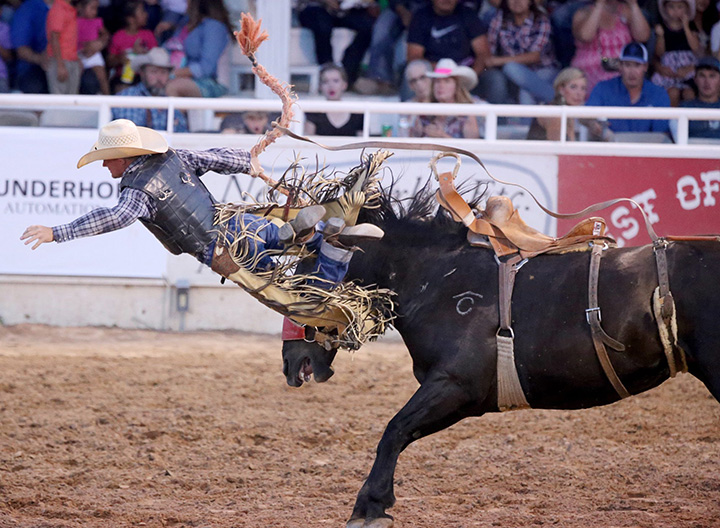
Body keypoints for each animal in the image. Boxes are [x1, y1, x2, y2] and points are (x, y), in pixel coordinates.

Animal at [281, 186, 720, 528]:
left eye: (306, 274)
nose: (290, 360)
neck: (437, 279)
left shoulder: (456, 387)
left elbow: (395, 430)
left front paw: (370, 506)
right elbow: (399, 432)